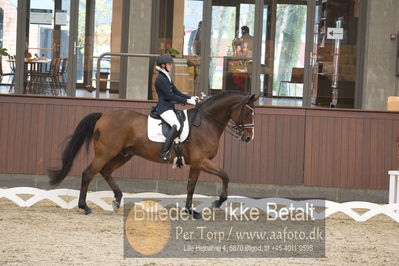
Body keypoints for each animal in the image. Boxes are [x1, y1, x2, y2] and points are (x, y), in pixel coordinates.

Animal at [48, 90, 260, 217]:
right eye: (248, 113)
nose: (249, 137)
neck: (206, 123)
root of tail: (104, 115)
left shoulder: (197, 163)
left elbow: (191, 186)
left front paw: (190, 210)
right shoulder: (201, 161)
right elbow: (225, 174)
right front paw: (219, 201)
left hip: (124, 155)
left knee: (106, 172)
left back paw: (117, 199)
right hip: (105, 153)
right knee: (88, 173)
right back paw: (85, 207)